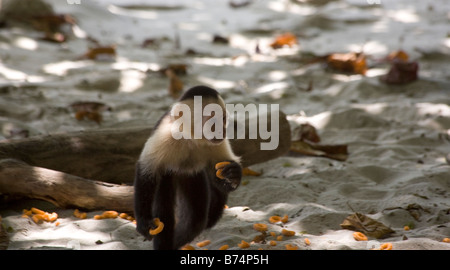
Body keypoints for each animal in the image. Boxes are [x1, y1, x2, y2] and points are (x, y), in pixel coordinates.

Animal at [134, 85, 243, 250]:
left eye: (223, 119)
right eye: (212, 120)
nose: (222, 130)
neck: (191, 138)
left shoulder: (217, 144)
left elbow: (218, 175)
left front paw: (233, 175)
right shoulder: (164, 135)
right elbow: (147, 171)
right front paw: (143, 221)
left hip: (192, 177)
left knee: (195, 219)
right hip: (169, 177)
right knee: (165, 212)